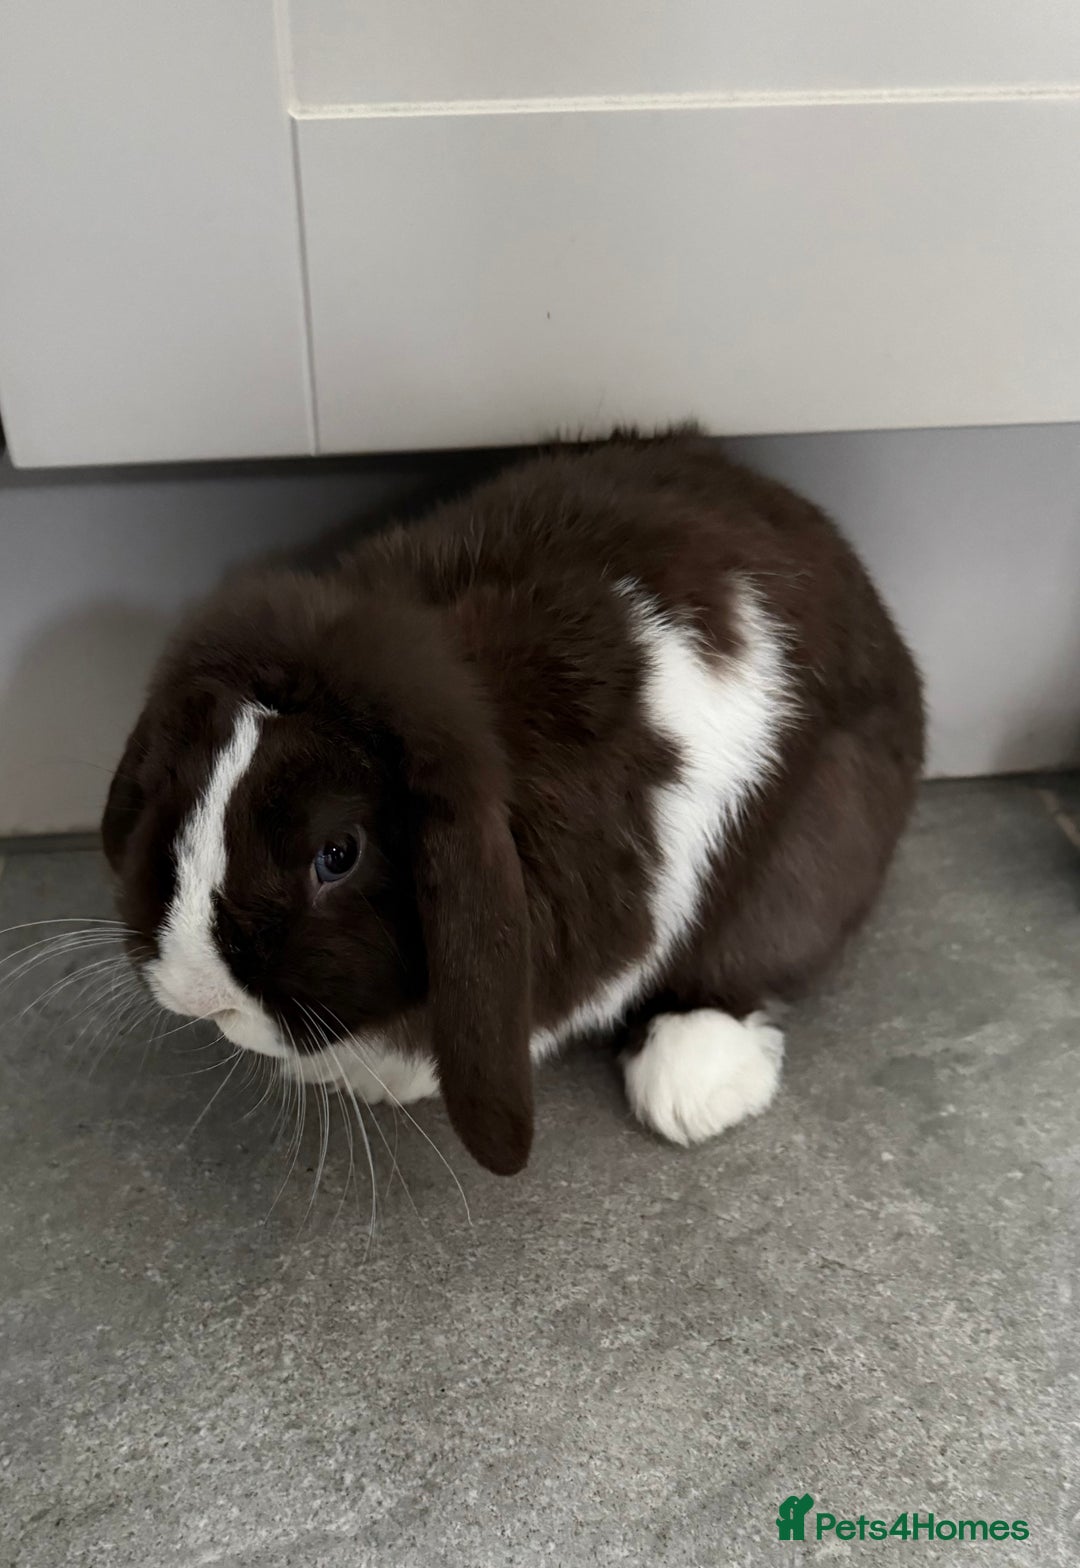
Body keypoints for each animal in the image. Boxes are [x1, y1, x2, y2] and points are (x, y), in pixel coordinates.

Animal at [102, 431, 924, 1175]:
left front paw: (375, 1069)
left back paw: (695, 1083)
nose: (199, 996)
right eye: (178, 794)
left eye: (337, 855)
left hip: (815, 842)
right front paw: (354, 1069)